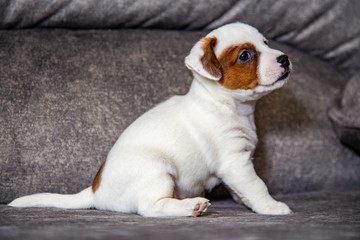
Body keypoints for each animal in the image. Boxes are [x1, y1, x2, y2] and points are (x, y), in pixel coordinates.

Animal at [8, 22, 292, 218]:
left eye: (266, 42)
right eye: (245, 55)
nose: (284, 58)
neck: (227, 105)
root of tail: (95, 190)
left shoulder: (239, 163)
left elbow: (242, 190)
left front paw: (246, 202)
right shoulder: (234, 162)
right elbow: (257, 185)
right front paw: (271, 206)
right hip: (157, 169)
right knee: (150, 208)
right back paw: (191, 206)